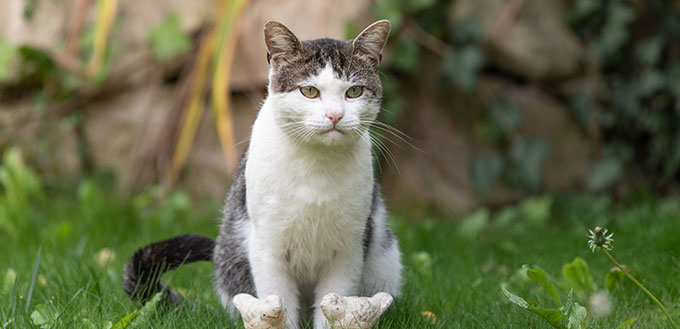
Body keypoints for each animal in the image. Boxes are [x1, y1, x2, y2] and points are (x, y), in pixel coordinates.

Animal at [123, 19, 402, 328]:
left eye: (354, 92)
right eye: (309, 91)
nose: (335, 115)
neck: (317, 166)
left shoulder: (350, 248)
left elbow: (334, 300)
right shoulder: (267, 246)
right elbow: (278, 301)